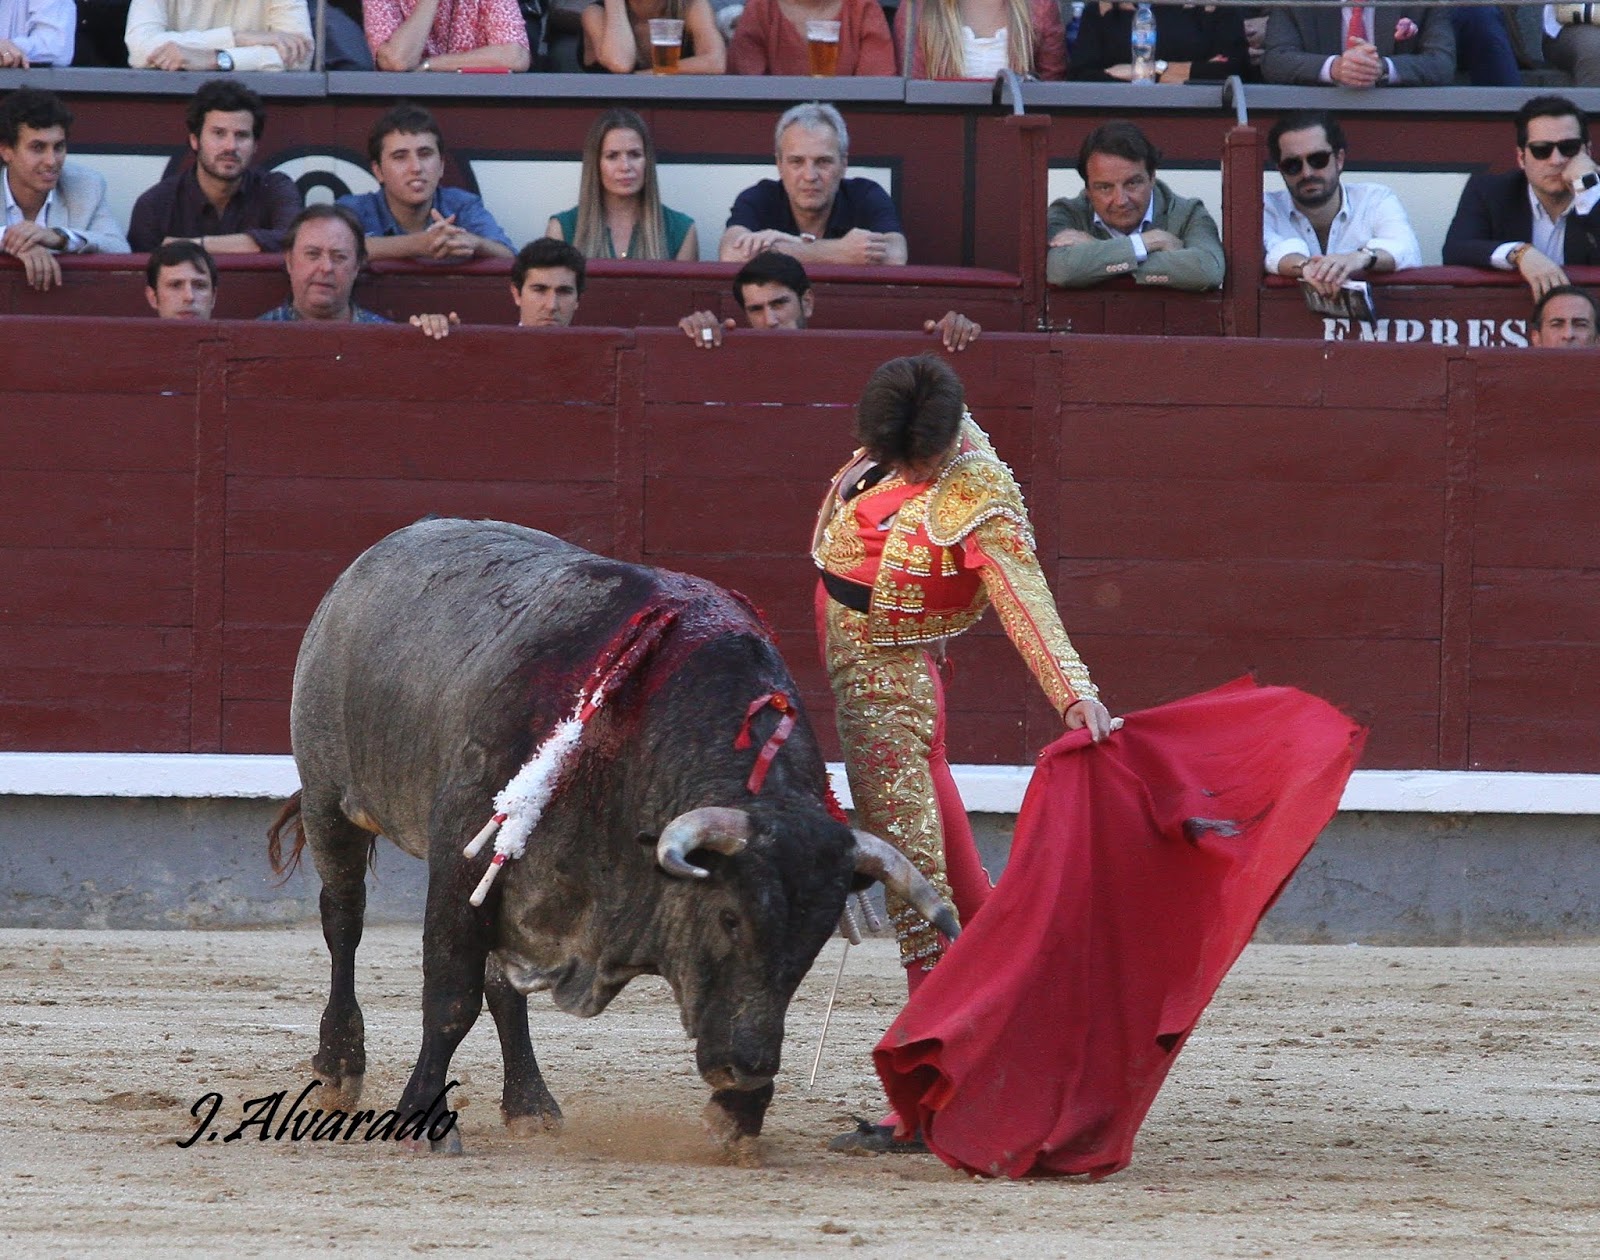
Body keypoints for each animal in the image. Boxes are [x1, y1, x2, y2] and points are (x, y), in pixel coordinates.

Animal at [268, 518, 957, 1155]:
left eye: (815, 940)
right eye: (730, 918)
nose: (748, 1068)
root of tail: (379, 552)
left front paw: (739, 1118)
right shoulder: (462, 855)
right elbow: (450, 995)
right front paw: (421, 1120)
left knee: (501, 982)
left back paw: (530, 1103)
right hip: (331, 801)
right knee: (344, 921)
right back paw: (339, 1068)